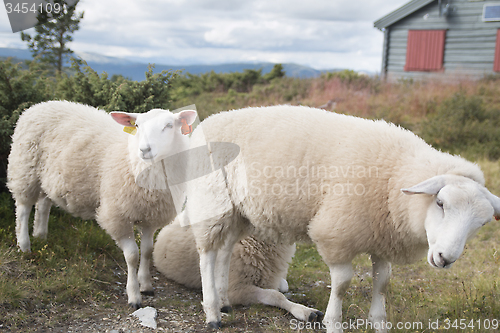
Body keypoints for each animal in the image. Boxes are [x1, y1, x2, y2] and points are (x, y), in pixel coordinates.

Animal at [6, 100, 197, 308]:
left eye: (169, 126)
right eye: (137, 126)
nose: (145, 150)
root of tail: (39, 105)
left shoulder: (150, 217)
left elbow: (147, 251)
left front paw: (146, 285)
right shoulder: (117, 215)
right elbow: (132, 256)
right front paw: (134, 295)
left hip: (48, 177)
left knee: (43, 204)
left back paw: (41, 236)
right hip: (25, 168)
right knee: (23, 208)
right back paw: (24, 245)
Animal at [181, 104, 500, 332]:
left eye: (482, 224)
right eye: (441, 203)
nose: (445, 258)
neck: (393, 177)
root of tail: (208, 122)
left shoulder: (381, 238)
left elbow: (383, 281)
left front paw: (378, 323)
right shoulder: (335, 234)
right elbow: (344, 282)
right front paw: (332, 322)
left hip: (239, 211)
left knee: (225, 249)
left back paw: (225, 302)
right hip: (212, 200)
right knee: (207, 253)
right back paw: (212, 312)